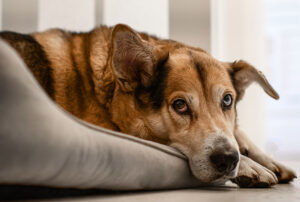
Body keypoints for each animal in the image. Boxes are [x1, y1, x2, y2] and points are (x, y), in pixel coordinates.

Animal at [0, 24, 296, 188]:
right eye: (179, 105)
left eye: (227, 100)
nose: (227, 159)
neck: (107, 92)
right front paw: (249, 165)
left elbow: (236, 132)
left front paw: (265, 158)